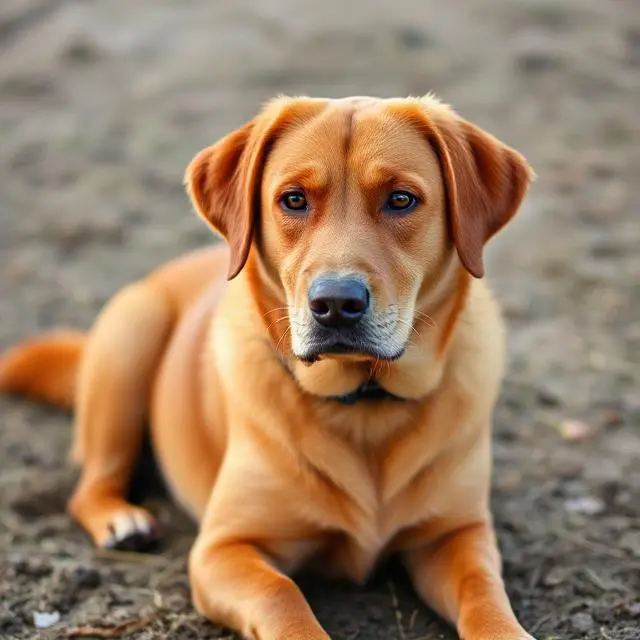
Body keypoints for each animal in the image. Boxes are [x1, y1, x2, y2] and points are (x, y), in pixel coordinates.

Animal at [0, 95, 536, 640]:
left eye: (401, 199)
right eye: (294, 200)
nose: (336, 303)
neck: (363, 404)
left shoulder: (457, 533)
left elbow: (484, 591)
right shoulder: (224, 547)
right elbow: (282, 594)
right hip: (132, 333)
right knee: (92, 480)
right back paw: (120, 520)